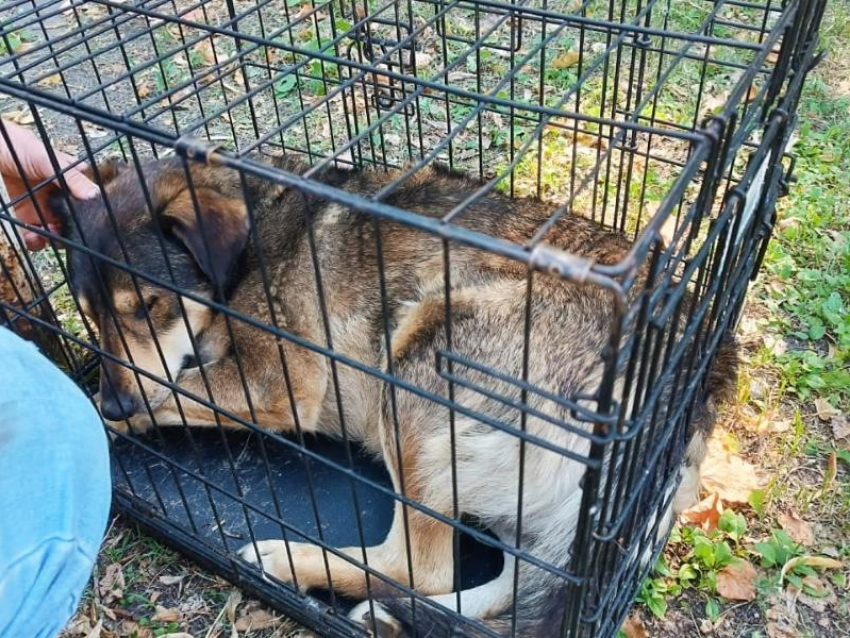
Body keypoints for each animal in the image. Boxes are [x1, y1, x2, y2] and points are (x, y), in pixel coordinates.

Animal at [51, 156, 736, 638]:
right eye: (88, 312)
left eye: (146, 306)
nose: (115, 406)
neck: (251, 235)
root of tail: (688, 393)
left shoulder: (277, 383)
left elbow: (163, 386)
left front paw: (99, 415)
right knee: (498, 585)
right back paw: (390, 615)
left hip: (417, 355)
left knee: (419, 567)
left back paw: (291, 560)